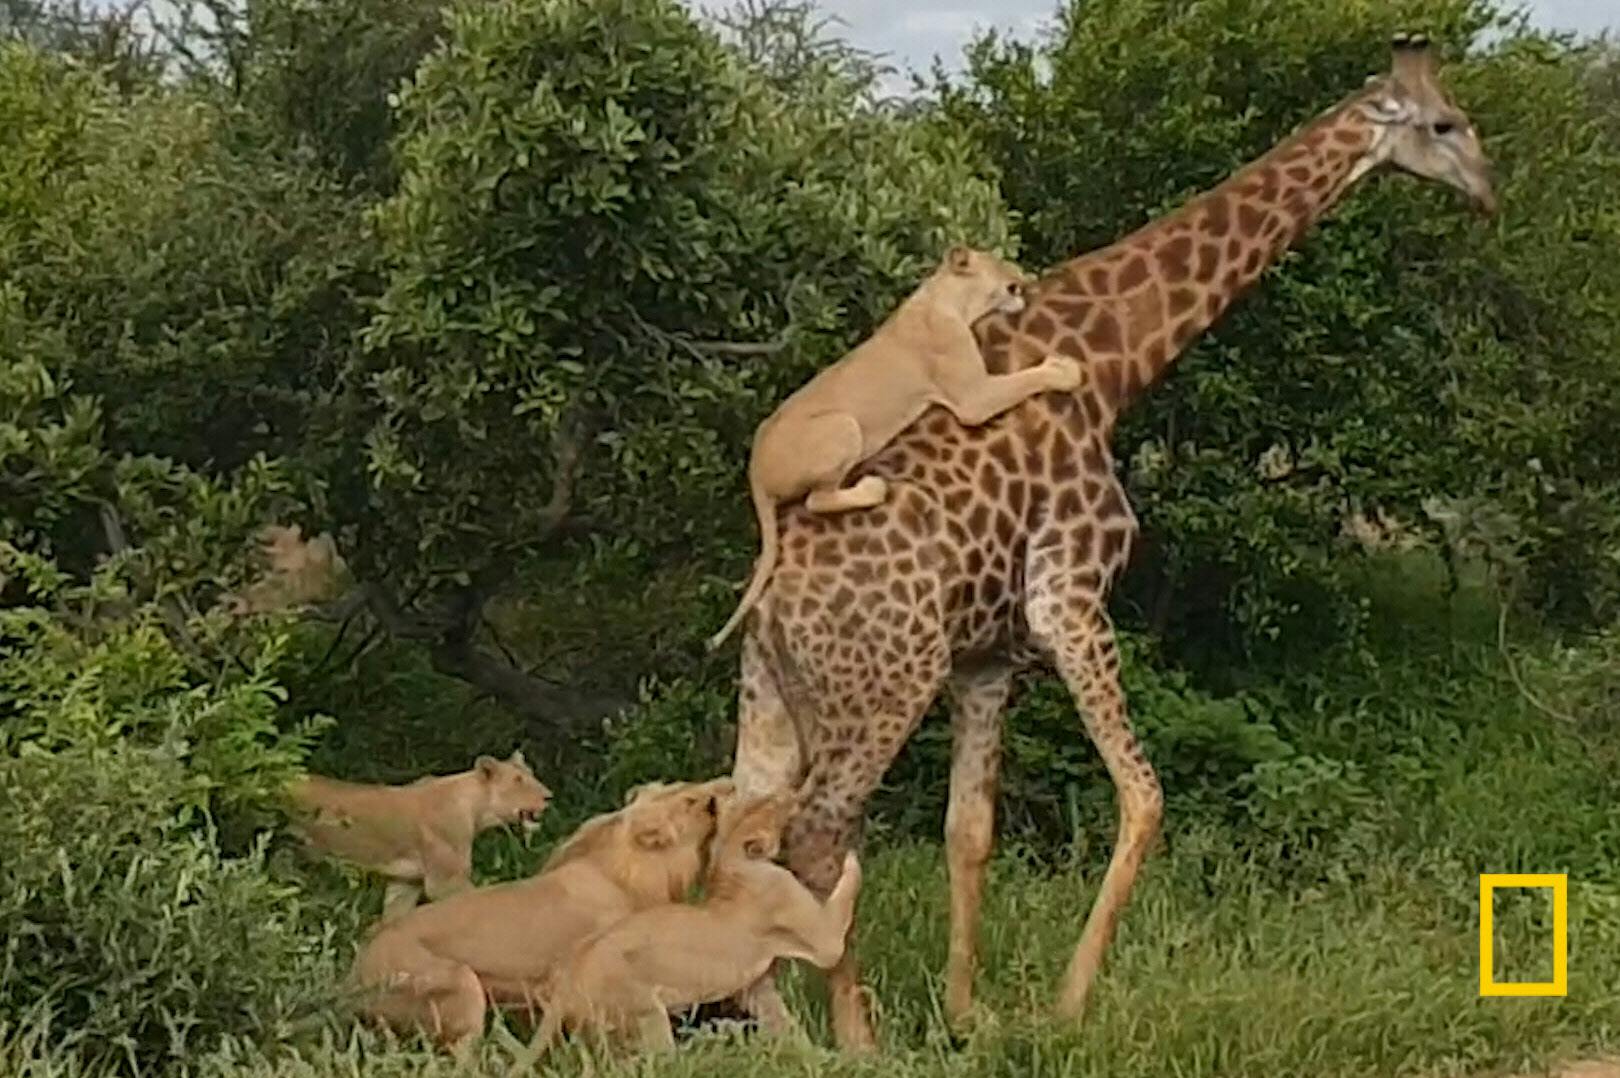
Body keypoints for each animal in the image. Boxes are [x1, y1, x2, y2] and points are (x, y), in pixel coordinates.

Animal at [706, 243, 1075, 648]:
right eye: (997, 261)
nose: (1024, 275)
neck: (946, 298)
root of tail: (753, 470)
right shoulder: (972, 398)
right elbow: (1023, 380)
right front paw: (1065, 371)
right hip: (843, 425)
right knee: (816, 499)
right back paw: (872, 488)